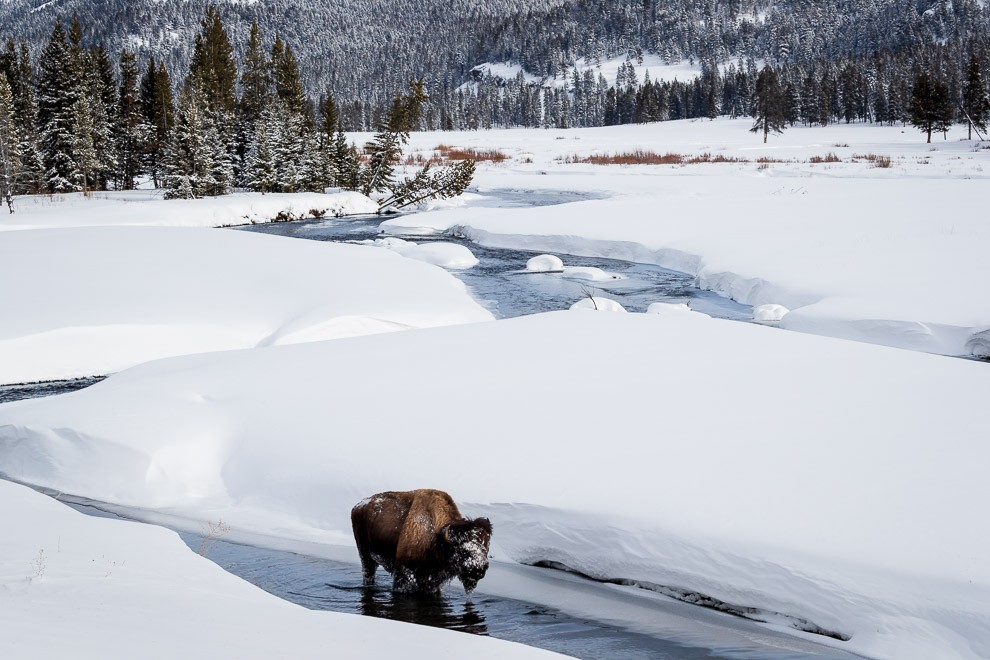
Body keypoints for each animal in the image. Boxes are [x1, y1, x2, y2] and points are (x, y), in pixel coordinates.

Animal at [350, 488, 494, 596]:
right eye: (463, 550)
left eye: (486, 547)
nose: (480, 569)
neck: (437, 537)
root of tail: (357, 507)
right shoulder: (405, 574)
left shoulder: (434, 581)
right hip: (365, 555)